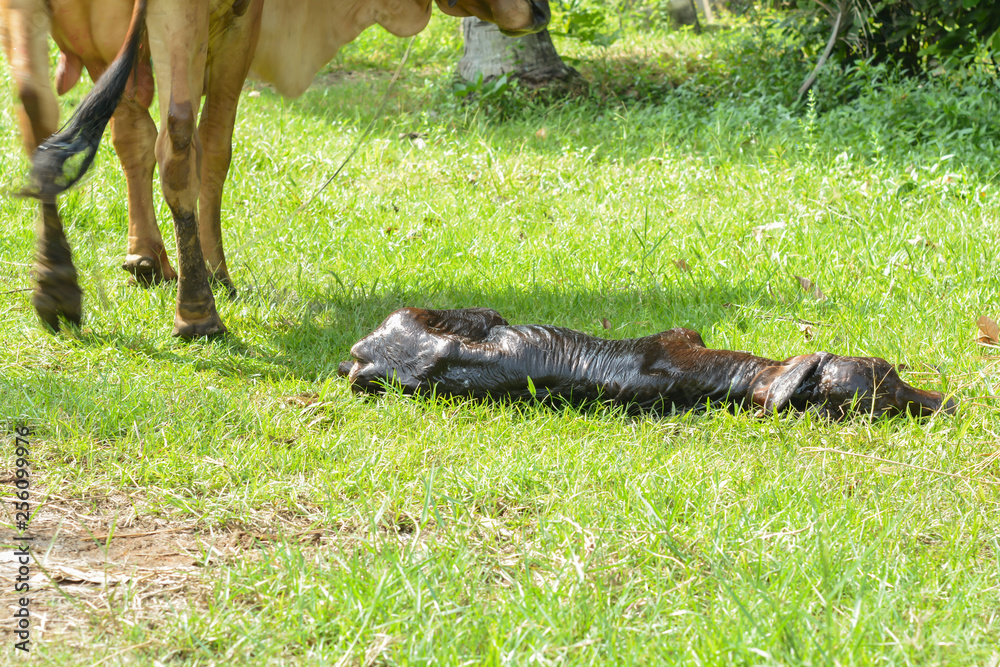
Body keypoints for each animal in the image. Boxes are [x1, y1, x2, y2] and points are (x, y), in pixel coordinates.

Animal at [5, 0, 550, 336]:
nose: (540, 11)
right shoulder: (242, 22)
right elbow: (213, 145)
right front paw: (213, 271)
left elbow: (130, 134)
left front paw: (147, 259)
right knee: (179, 142)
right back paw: (199, 312)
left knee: (36, 118)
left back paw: (55, 288)